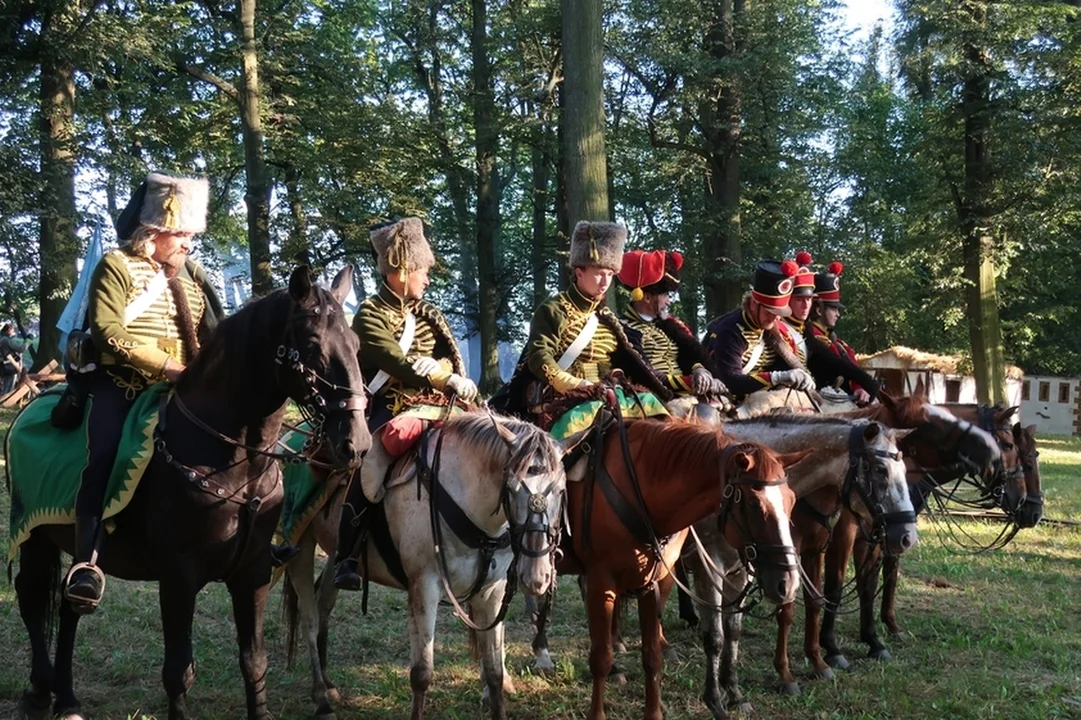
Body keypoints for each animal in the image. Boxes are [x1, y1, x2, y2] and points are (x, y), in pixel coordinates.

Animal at [6, 264, 371, 717]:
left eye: (356, 345)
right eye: (314, 344)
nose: (356, 442)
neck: (236, 462)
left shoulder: (253, 574)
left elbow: (254, 660)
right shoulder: (178, 577)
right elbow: (179, 671)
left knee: (70, 604)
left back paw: (67, 698)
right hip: (33, 535)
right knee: (31, 595)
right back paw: (40, 691)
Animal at [281, 408, 566, 717]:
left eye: (562, 491)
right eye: (511, 489)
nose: (536, 575)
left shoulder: (492, 592)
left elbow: (494, 673)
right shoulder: (425, 587)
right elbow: (421, 674)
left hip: (335, 555)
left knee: (324, 606)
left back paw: (329, 683)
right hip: (299, 547)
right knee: (309, 618)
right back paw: (321, 698)